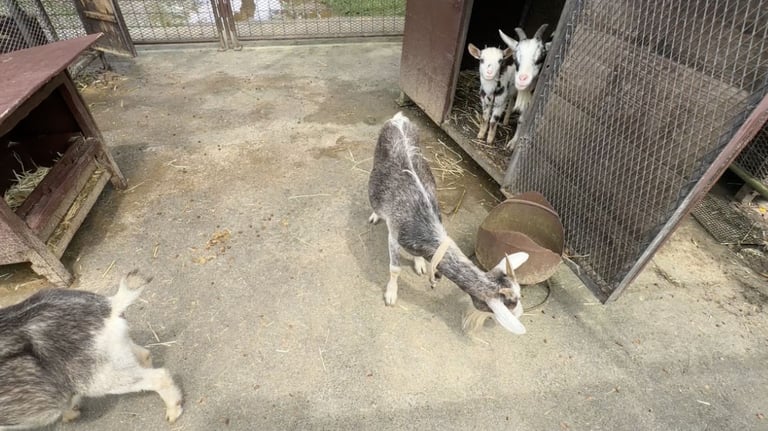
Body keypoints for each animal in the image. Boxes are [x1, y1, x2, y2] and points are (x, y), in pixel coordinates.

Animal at [0, 270, 183, 429]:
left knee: (159, 377)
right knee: (144, 356)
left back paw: (173, 413)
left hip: (96, 377)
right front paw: (71, 415)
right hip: (117, 352)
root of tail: (110, 306)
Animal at [368, 112, 529, 334]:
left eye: (520, 295)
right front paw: (391, 294)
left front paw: (419, 263)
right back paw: (375, 215)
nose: (521, 313)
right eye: (509, 305)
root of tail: (399, 119)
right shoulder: (394, 233)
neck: (427, 229)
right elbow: (395, 269)